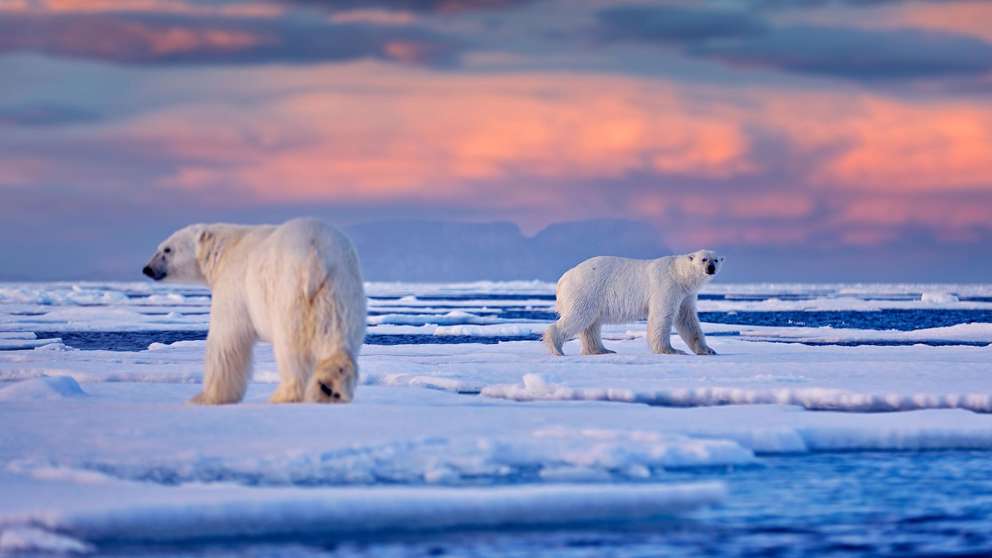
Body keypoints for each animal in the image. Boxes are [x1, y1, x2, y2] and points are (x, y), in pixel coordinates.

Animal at [141, 219, 366, 406]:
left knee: (291, 348)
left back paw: (283, 395)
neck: (223, 250)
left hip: (288, 292)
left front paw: (205, 397)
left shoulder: (234, 285)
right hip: (340, 290)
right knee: (336, 335)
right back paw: (329, 388)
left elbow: (226, 340)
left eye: (167, 249)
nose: (147, 269)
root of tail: (316, 255)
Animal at [548, 252, 724, 356]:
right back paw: (556, 348)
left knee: (590, 325)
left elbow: (687, 320)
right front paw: (671, 350)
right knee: (579, 316)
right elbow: (662, 316)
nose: (711, 268)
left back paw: (602, 350)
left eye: (716, 259)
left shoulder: (685, 295)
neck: (678, 274)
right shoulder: (667, 286)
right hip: (586, 290)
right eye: (703, 259)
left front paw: (708, 350)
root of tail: (563, 279)